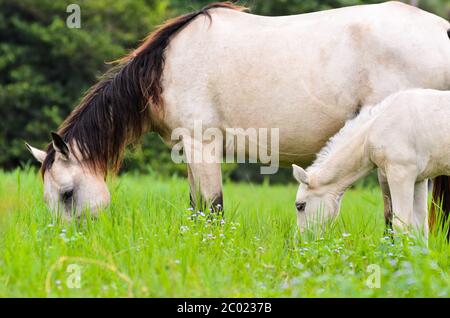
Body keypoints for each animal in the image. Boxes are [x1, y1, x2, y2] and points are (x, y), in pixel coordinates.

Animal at [26, 1, 450, 222]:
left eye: (67, 194)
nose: (67, 244)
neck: (165, 68)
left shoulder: (203, 145)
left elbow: (212, 208)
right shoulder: (189, 151)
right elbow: (196, 207)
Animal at [292, 88, 450, 237]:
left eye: (300, 206)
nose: (301, 240)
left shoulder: (401, 173)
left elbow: (401, 224)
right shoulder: (419, 179)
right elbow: (420, 227)